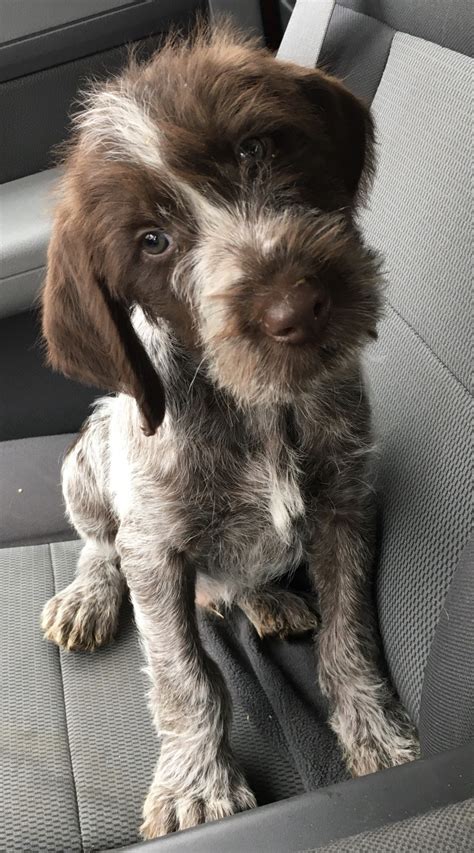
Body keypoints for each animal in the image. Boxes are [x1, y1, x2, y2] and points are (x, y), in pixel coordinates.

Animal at [40, 23, 418, 836]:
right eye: (151, 241)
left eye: (256, 150)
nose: (296, 307)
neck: (258, 405)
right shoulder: (154, 549)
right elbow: (187, 674)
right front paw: (196, 783)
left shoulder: (344, 503)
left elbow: (348, 634)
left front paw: (372, 727)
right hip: (87, 455)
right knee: (97, 544)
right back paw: (89, 594)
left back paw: (266, 599)